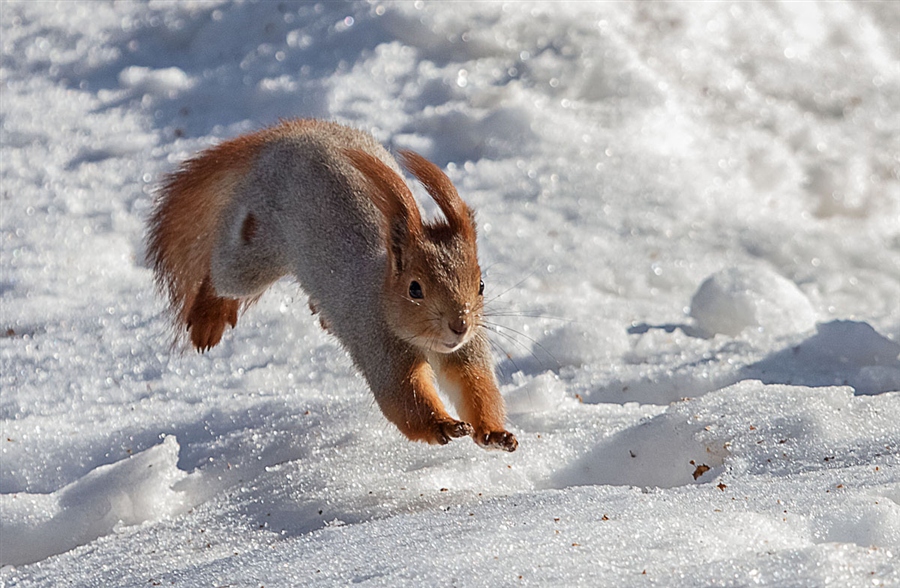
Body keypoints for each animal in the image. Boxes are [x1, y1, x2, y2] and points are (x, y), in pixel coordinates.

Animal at [144, 118, 516, 450]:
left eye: (481, 285)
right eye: (415, 289)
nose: (459, 325)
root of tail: (286, 136)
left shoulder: (467, 351)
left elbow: (477, 387)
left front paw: (494, 433)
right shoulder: (377, 342)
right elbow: (402, 397)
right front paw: (443, 424)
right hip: (256, 250)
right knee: (220, 274)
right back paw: (208, 316)